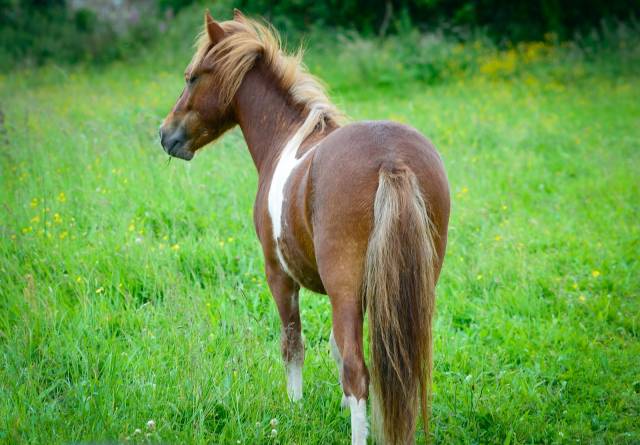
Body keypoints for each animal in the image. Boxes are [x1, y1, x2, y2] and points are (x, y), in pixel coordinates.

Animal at [160, 10, 450, 444]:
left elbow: (293, 343)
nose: (166, 134)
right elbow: (333, 347)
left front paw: (295, 408)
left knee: (357, 371)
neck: (285, 138)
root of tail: (391, 160)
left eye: (191, 77)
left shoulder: (279, 275)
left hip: (343, 286)